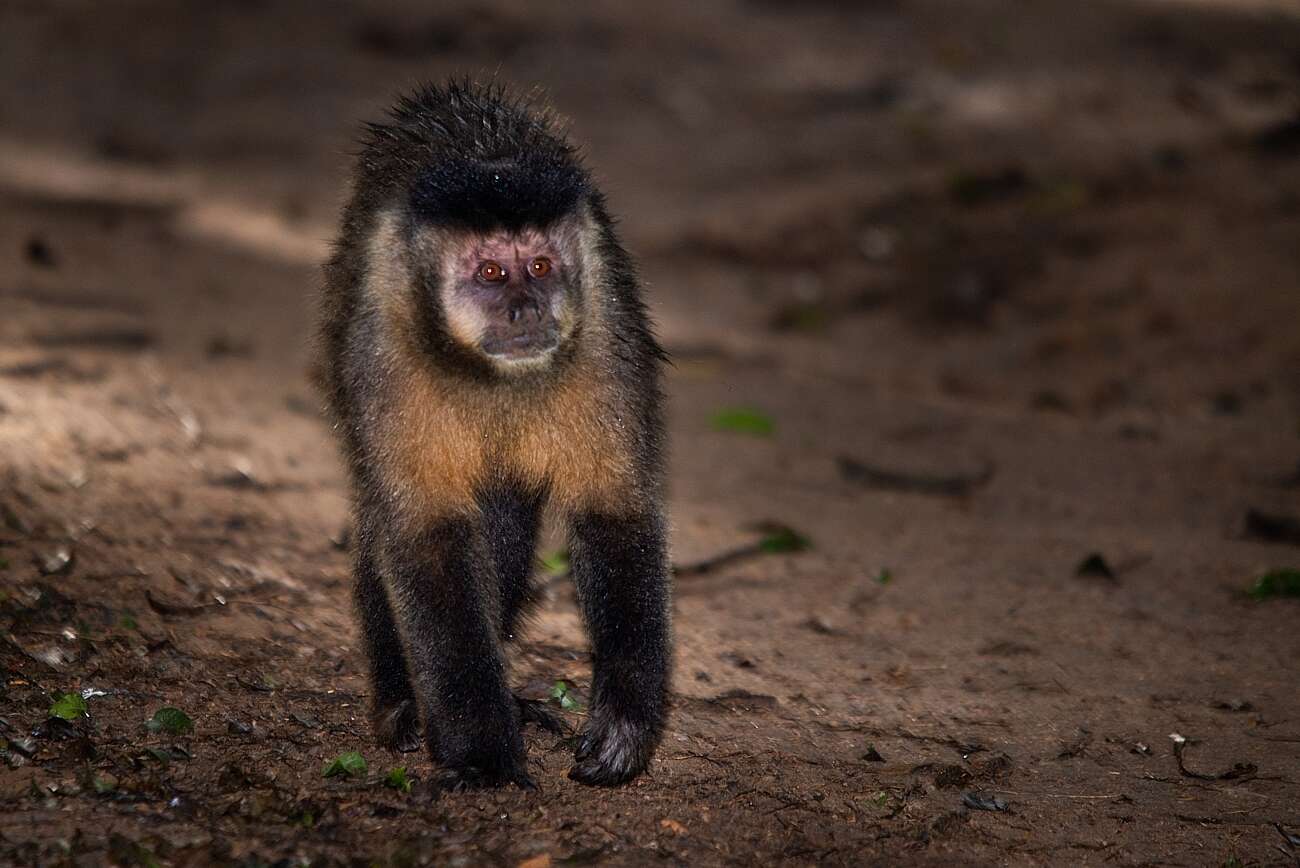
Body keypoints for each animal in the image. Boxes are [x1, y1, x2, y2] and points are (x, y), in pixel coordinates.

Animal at [317, 83, 670, 795]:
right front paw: (481, 753)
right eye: (488, 273)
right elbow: (423, 536)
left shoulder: (607, 323)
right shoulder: (383, 343)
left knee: (504, 515)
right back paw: (400, 701)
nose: (525, 309)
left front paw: (624, 725)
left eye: (538, 265)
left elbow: (614, 511)